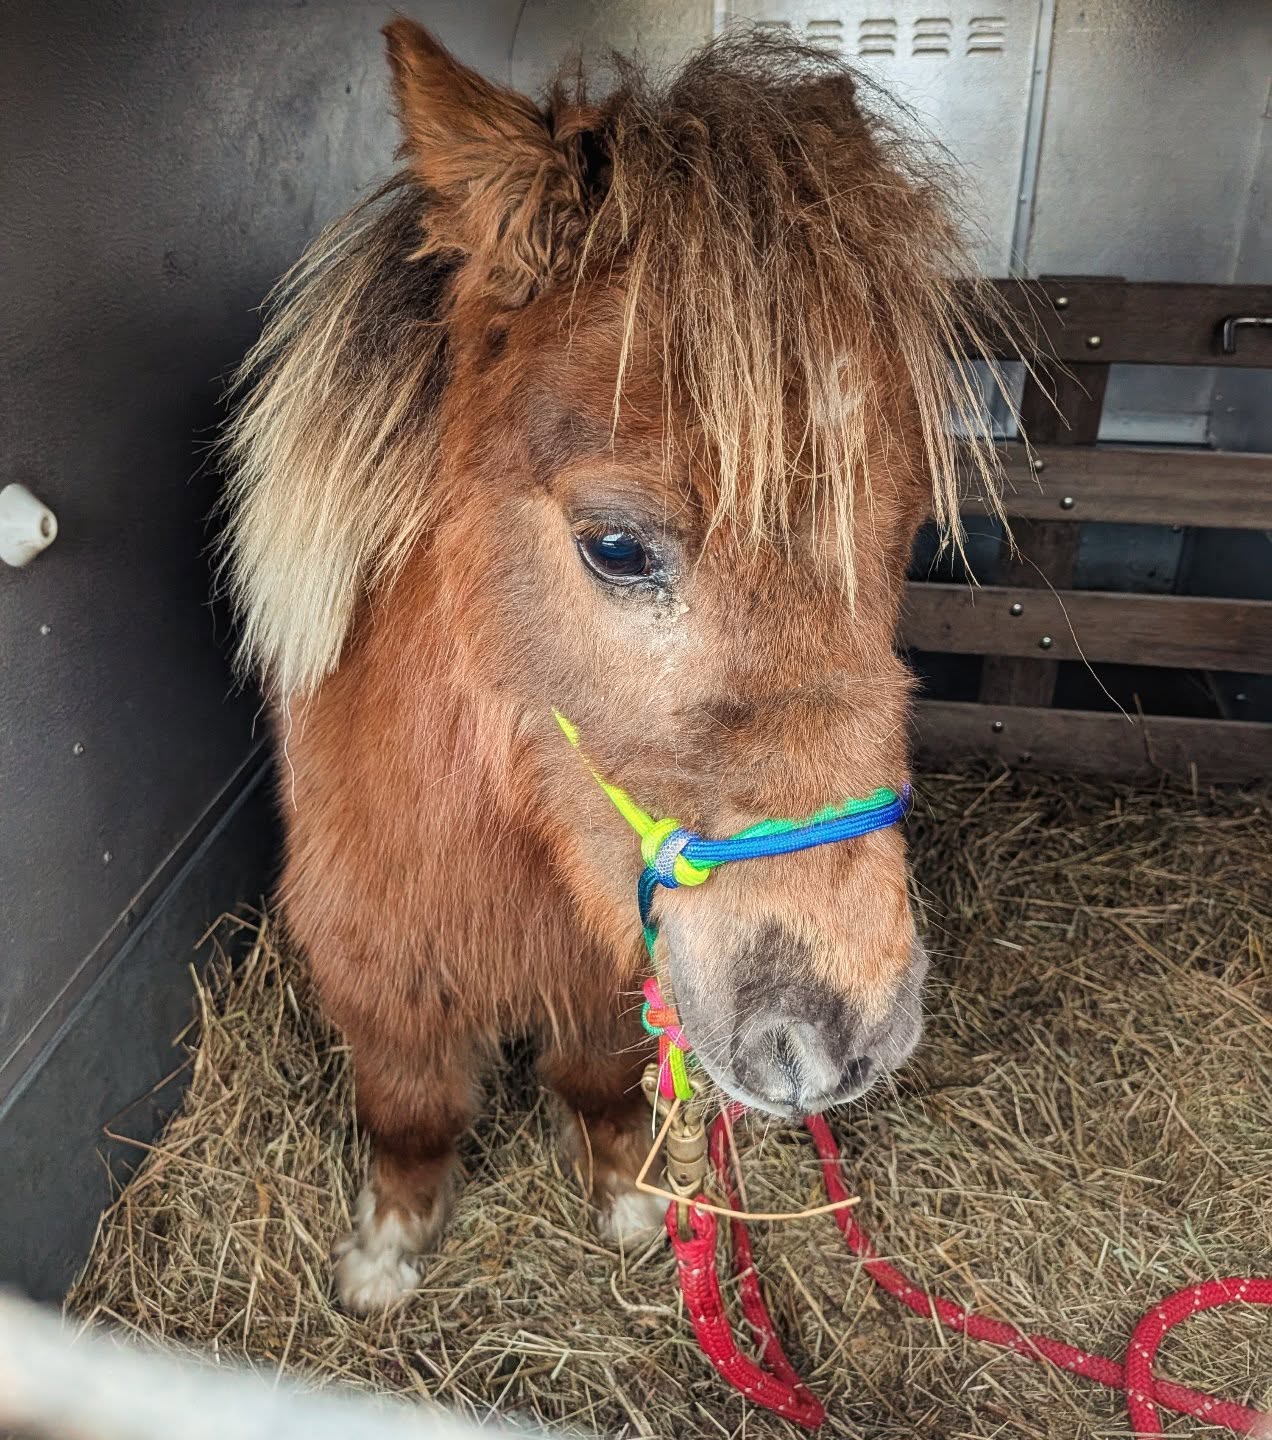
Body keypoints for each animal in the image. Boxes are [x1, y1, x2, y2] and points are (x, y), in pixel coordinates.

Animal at [222, 18, 1004, 1313]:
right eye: (619, 547)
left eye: (902, 533)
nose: (845, 1037)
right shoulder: (375, 969)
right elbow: (410, 1110)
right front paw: (385, 1256)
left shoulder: (604, 971)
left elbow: (594, 1077)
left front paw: (636, 1203)